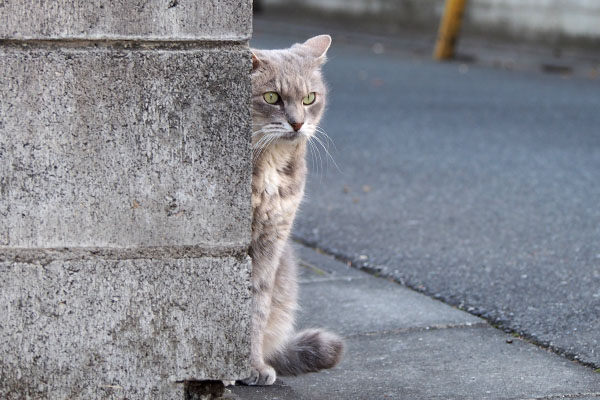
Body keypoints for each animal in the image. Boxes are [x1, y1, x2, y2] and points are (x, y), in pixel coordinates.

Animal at [244, 36, 344, 386]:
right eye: (272, 97)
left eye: (309, 98)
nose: (298, 123)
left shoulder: (271, 243)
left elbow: (257, 306)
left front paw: (252, 365)